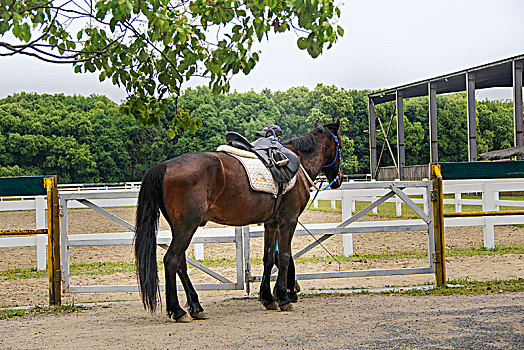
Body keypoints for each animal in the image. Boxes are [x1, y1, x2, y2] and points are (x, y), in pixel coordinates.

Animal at [133, 121, 342, 322]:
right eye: (339, 144)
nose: (339, 178)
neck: (297, 167)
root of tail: (165, 166)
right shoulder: (288, 220)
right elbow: (283, 257)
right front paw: (283, 298)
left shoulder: (271, 223)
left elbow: (269, 258)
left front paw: (268, 298)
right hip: (186, 227)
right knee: (171, 260)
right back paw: (178, 311)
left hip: (181, 228)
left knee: (181, 264)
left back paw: (196, 307)